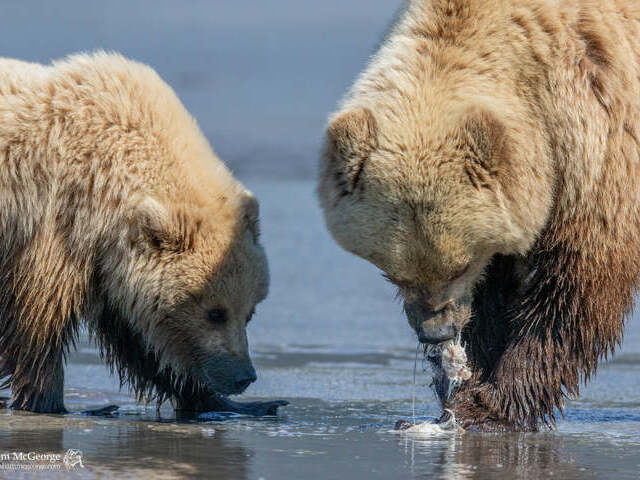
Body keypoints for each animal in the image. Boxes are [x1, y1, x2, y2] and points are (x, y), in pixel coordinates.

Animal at [0, 50, 286, 414]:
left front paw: (239, 404)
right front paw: (56, 401)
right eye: (215, 313)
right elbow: (40, 321)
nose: (244, 376)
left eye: (250, 311)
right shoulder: (51, 226)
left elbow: (140, 341)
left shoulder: (106, 265)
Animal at [318, 0, 640, 432]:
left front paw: (489, 405)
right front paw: (463, 382)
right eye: (393, 273)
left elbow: (574, 290)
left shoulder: (600, 143)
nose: (435, 333)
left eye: (459, 266)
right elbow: (494, 294)